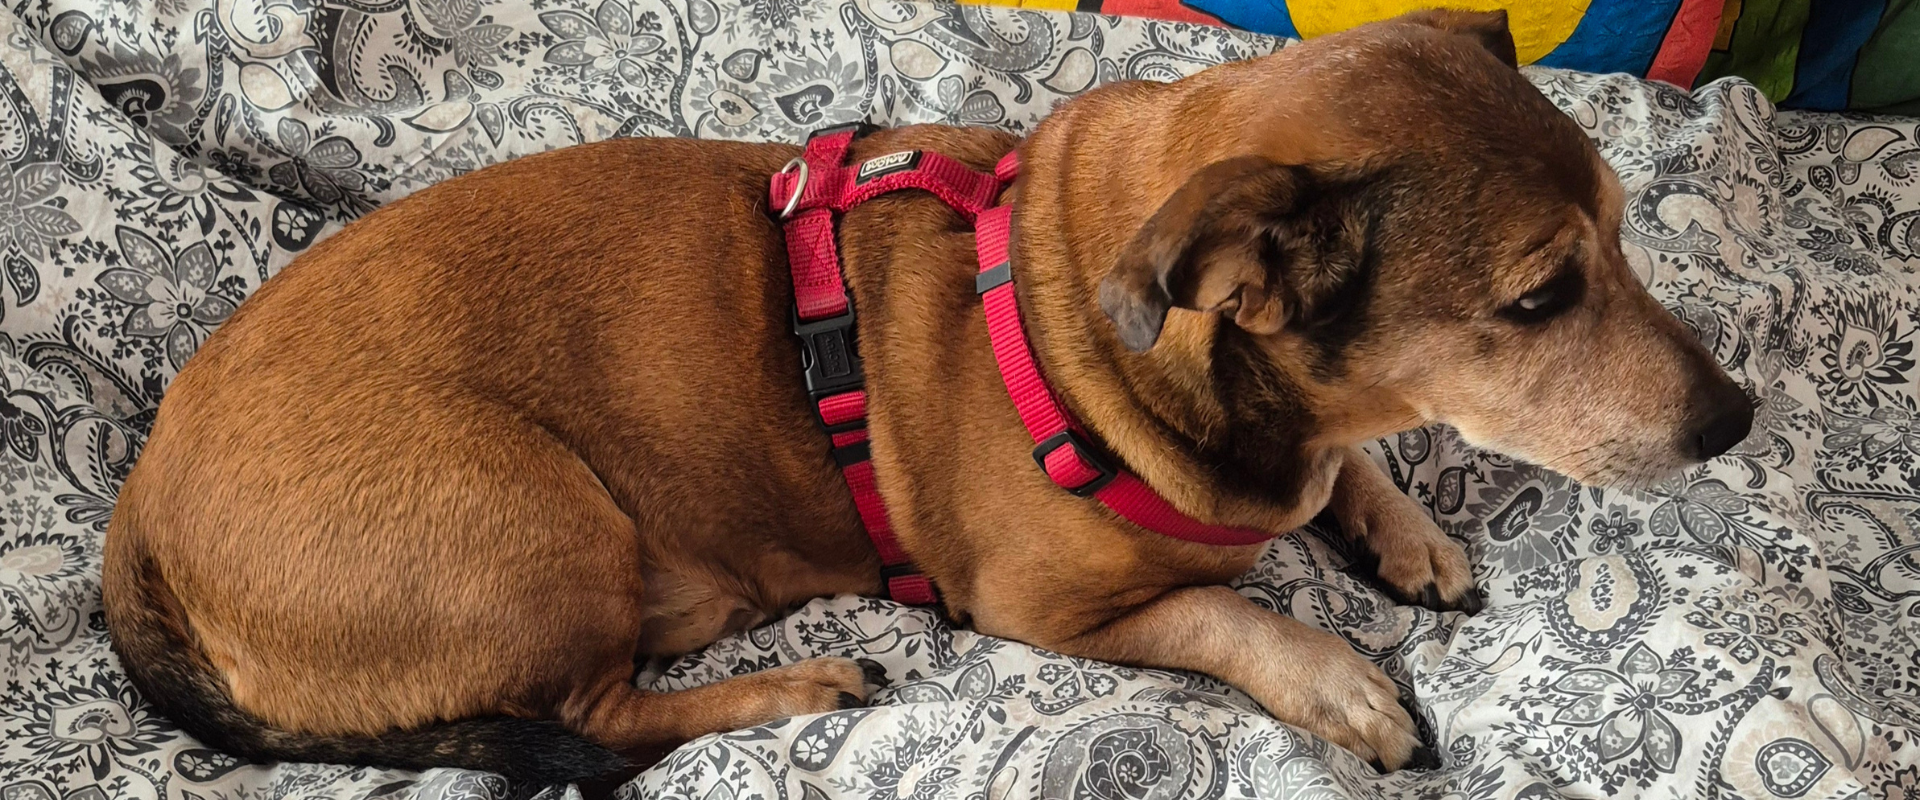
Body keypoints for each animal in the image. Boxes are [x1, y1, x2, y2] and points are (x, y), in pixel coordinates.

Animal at [102, 8, 1753, 785]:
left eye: (1628, 232)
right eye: (1540, 299)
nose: (1739, 422)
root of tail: (138, 520)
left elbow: (1357, 470)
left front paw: (1406, 531)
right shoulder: (1043, 613)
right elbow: (1230, 614)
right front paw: (1342, 681)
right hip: (538, 525)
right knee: (595, 722)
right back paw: (784, 686)